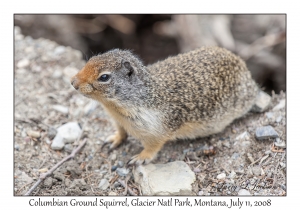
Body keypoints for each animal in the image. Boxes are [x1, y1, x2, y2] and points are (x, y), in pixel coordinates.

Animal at [70, 46, 258, 165]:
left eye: (104, 77)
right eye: (91, 59)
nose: (73, 82)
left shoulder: (156, 131)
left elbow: (153, 147)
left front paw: (140, 158)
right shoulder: (118, 121)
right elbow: (122, 132)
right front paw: (114, 139)